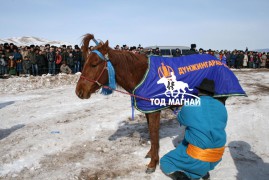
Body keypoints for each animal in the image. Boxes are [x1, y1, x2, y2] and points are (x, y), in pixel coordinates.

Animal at [74, 33, 160, 173]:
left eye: (93, 64)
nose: (79, 91)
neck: (145, 76)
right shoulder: (149, 110)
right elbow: (151, 132)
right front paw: (151, 154)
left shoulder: (154, 110)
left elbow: (154, 134)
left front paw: (153, 163)